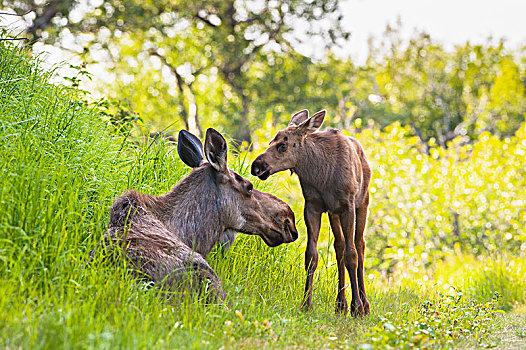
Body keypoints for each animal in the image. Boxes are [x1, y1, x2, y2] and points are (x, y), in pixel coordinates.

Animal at [253, 110, 374, 318]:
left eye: (283, 145)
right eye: (270, 142)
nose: (256, 166)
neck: (321, 174)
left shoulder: (347, 205)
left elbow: (352, 255)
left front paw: (357, 307)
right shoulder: (313, 206)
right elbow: (311, 255)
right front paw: (306, 305)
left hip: (362, 202)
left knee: (360, 245)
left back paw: (363, 304)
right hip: (333, 213)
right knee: (339, 246)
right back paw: (340, 304)